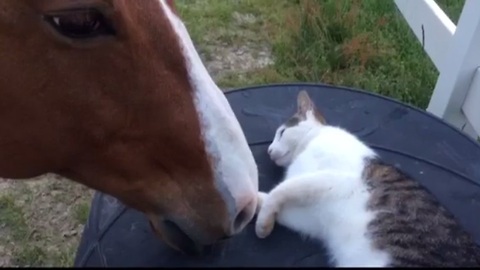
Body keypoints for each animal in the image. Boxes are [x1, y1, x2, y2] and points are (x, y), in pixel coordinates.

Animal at [255, 89, 480, 266]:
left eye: (281, 133)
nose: (269, 150)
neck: (309, 143)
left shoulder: (331, 180)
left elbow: (280, 190)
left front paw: (262, 224)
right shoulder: (313, 219)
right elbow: (279, 205)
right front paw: (255, 203)